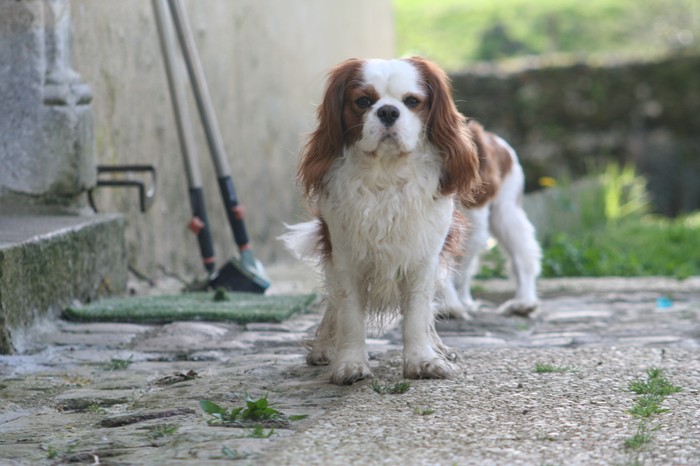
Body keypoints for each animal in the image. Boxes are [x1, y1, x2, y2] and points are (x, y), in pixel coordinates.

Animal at [282, 57, 540, 386]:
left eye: (412, 102)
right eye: (363, 101)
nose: (388, 111)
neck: (387, 173)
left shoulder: (426, 248)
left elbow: (419, 311)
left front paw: (423, 360)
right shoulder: (344, 253)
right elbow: (349, 311)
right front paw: (349, 363)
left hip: (503, 215)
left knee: (520, 258)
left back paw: (519, 303)